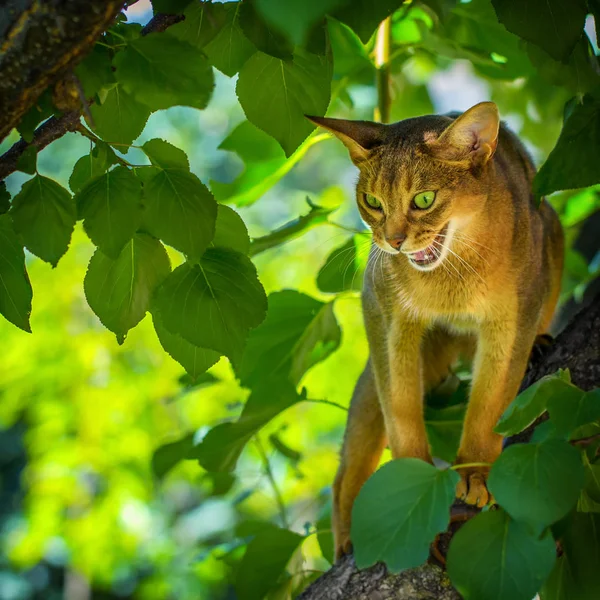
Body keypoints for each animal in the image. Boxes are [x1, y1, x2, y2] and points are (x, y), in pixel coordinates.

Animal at [308, 102, 564, 556]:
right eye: (372, 202)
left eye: (424, 199)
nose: (393, 241)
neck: (451, 284)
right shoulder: (383, 313)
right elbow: (401, 409)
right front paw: (412, 482)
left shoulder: (514, 314)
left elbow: (490, 403)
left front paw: (476, 473)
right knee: (346, 470)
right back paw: (348, 538)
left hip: (552, 228)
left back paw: (540, 342)